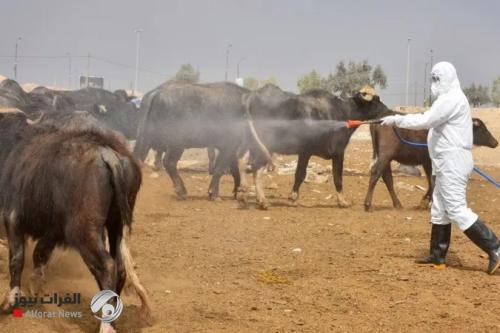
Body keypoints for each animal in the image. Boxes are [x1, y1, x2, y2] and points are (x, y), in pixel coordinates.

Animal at [241, 83, 390, 208]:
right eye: (376, 100)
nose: (389, 111)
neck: (342, 112)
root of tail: (254, 95)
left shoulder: (305, 153)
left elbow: (300, 174)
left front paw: (293, 197)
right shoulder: (335, 152)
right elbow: (334, 177)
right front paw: (342, 201)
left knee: (245, 164)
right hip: (265, 146)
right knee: (256, 169)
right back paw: (262, 201)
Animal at [366, 115, 498, 211]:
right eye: (482, 128)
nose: (496, 142)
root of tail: (378, 122)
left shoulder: (427, 162)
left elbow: (431, 181)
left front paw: (425, 201)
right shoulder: (432, 161)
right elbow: (433, 180)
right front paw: (428, 202)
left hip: (386, 158)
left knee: (387, 178)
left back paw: (397, 204)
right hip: (385, 155)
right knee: (376, 173)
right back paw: (367, 204)